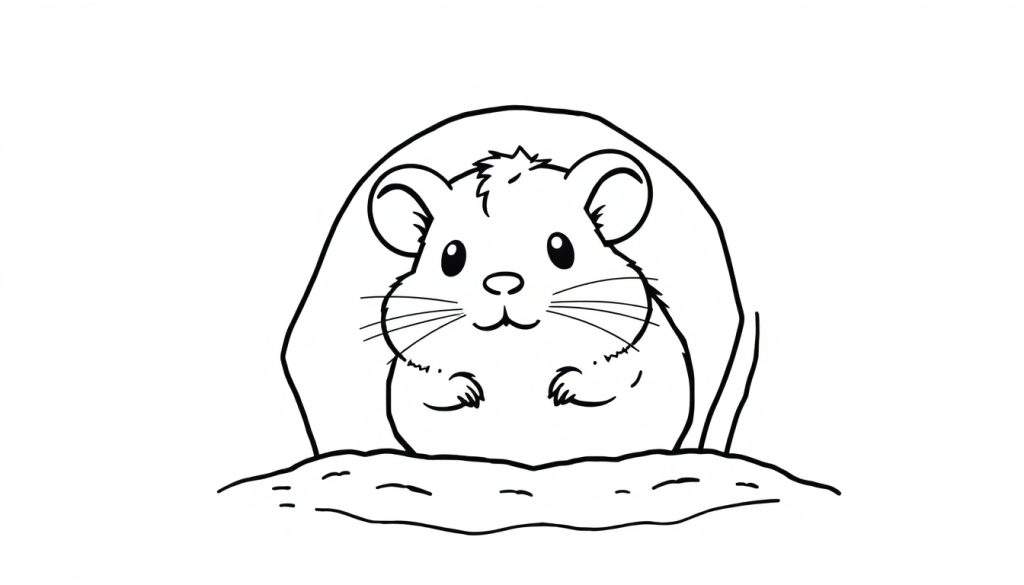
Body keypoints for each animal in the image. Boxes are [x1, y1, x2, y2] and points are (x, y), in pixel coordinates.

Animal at [367, 146, 693, 464]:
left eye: (561, 248)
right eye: (451, 256)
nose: (503, 284)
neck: (518, 353)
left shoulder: (631, 350)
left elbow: (611, 373)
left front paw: (561, 389)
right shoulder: (413, 366)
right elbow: (434, 382)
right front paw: (470, 392)